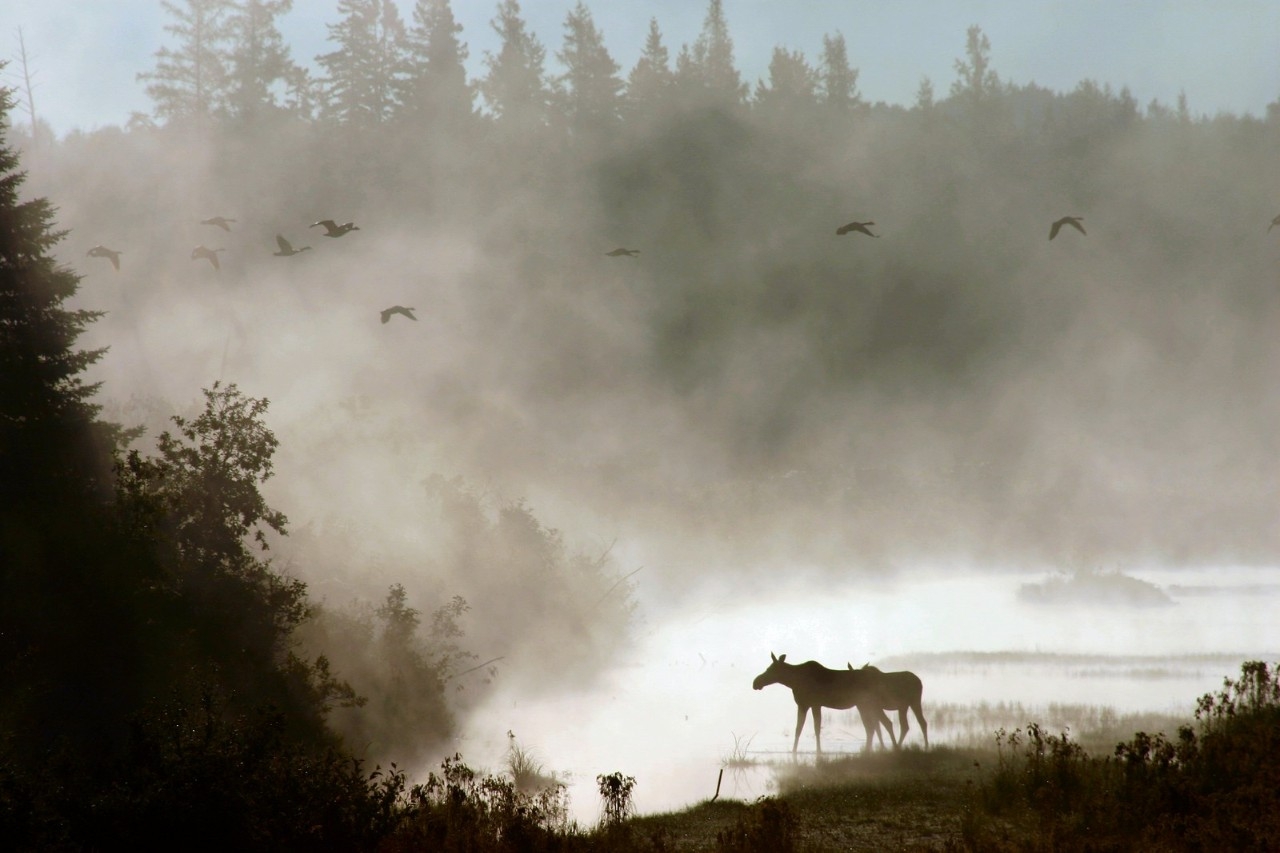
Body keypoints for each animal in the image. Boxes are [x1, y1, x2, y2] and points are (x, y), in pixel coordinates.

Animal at [747, 650, 901, 753]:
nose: (756, 682)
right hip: (863, 705)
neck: (793, 681)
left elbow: (816, 728)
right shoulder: (803, 705)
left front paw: (819, 751)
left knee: (880, 724)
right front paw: (794, 750)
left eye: (770, 669)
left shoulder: (815, 704)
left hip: (869, 704)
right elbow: (798, 729)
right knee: (874, 726)